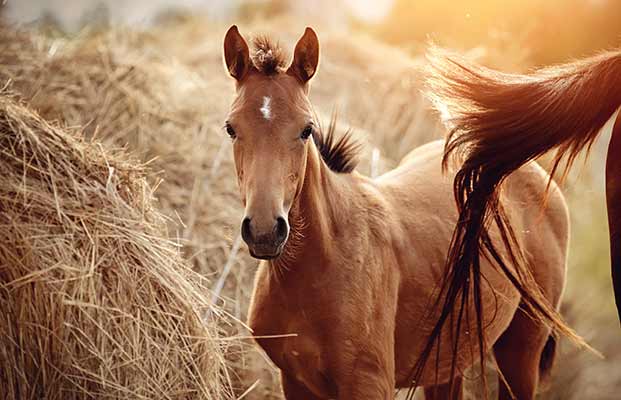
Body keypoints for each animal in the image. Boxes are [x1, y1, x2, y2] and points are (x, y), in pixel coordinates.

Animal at [222, 26, 568, 398]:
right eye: (231, 128)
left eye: (306, 129)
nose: (264, 231)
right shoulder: (295, 380)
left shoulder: (369, 383)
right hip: (448, 359)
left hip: (521, 351)